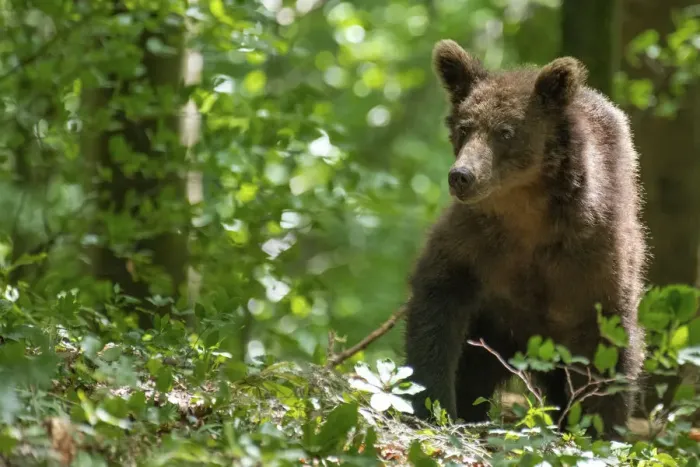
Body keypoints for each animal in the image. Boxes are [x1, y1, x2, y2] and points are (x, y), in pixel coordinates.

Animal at [403, 39, 648, 437]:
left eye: (506, 130)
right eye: (465, 126)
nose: (462, 175)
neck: (528, 215)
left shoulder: (593, 258)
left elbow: (608, 349)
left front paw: (600, 429)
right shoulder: (475, 246)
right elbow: (436, 311)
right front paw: (433, 404)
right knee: (476, 371)